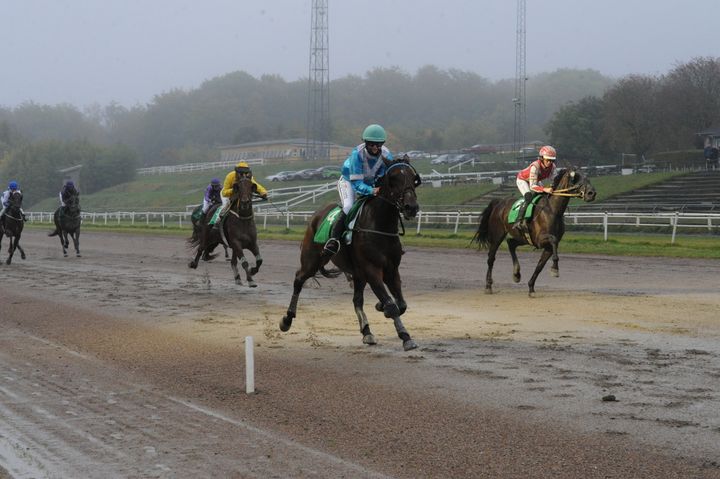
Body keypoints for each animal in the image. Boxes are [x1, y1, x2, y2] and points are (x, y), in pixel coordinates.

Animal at [278, 159, 422, 350]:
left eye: (414, 178)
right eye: (392, 178)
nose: (411, 207)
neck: (379, 226)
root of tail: (317, 214)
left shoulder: (391, 270)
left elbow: (401, 304)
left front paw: (380, 306)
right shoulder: (372, 270)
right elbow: (392, 306)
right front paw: (406, 337)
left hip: (357, 273)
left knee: (357, 300)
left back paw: (367, 332)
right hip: (312, 260)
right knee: (299, 279)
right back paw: (287, 319)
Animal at [472, 168, 596, 296]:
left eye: (587, 177)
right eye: (575, 178)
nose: (591, 193)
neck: (553, 211)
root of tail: (499, 203)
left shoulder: (547, 246)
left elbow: (540, 266)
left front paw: (531, 287)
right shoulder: (540, 240)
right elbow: (553, 240)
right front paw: (555, 269)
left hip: (522, 237)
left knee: (511, 243)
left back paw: (516, 274)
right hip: (497, 235)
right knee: (491, 258)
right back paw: (488, 286)